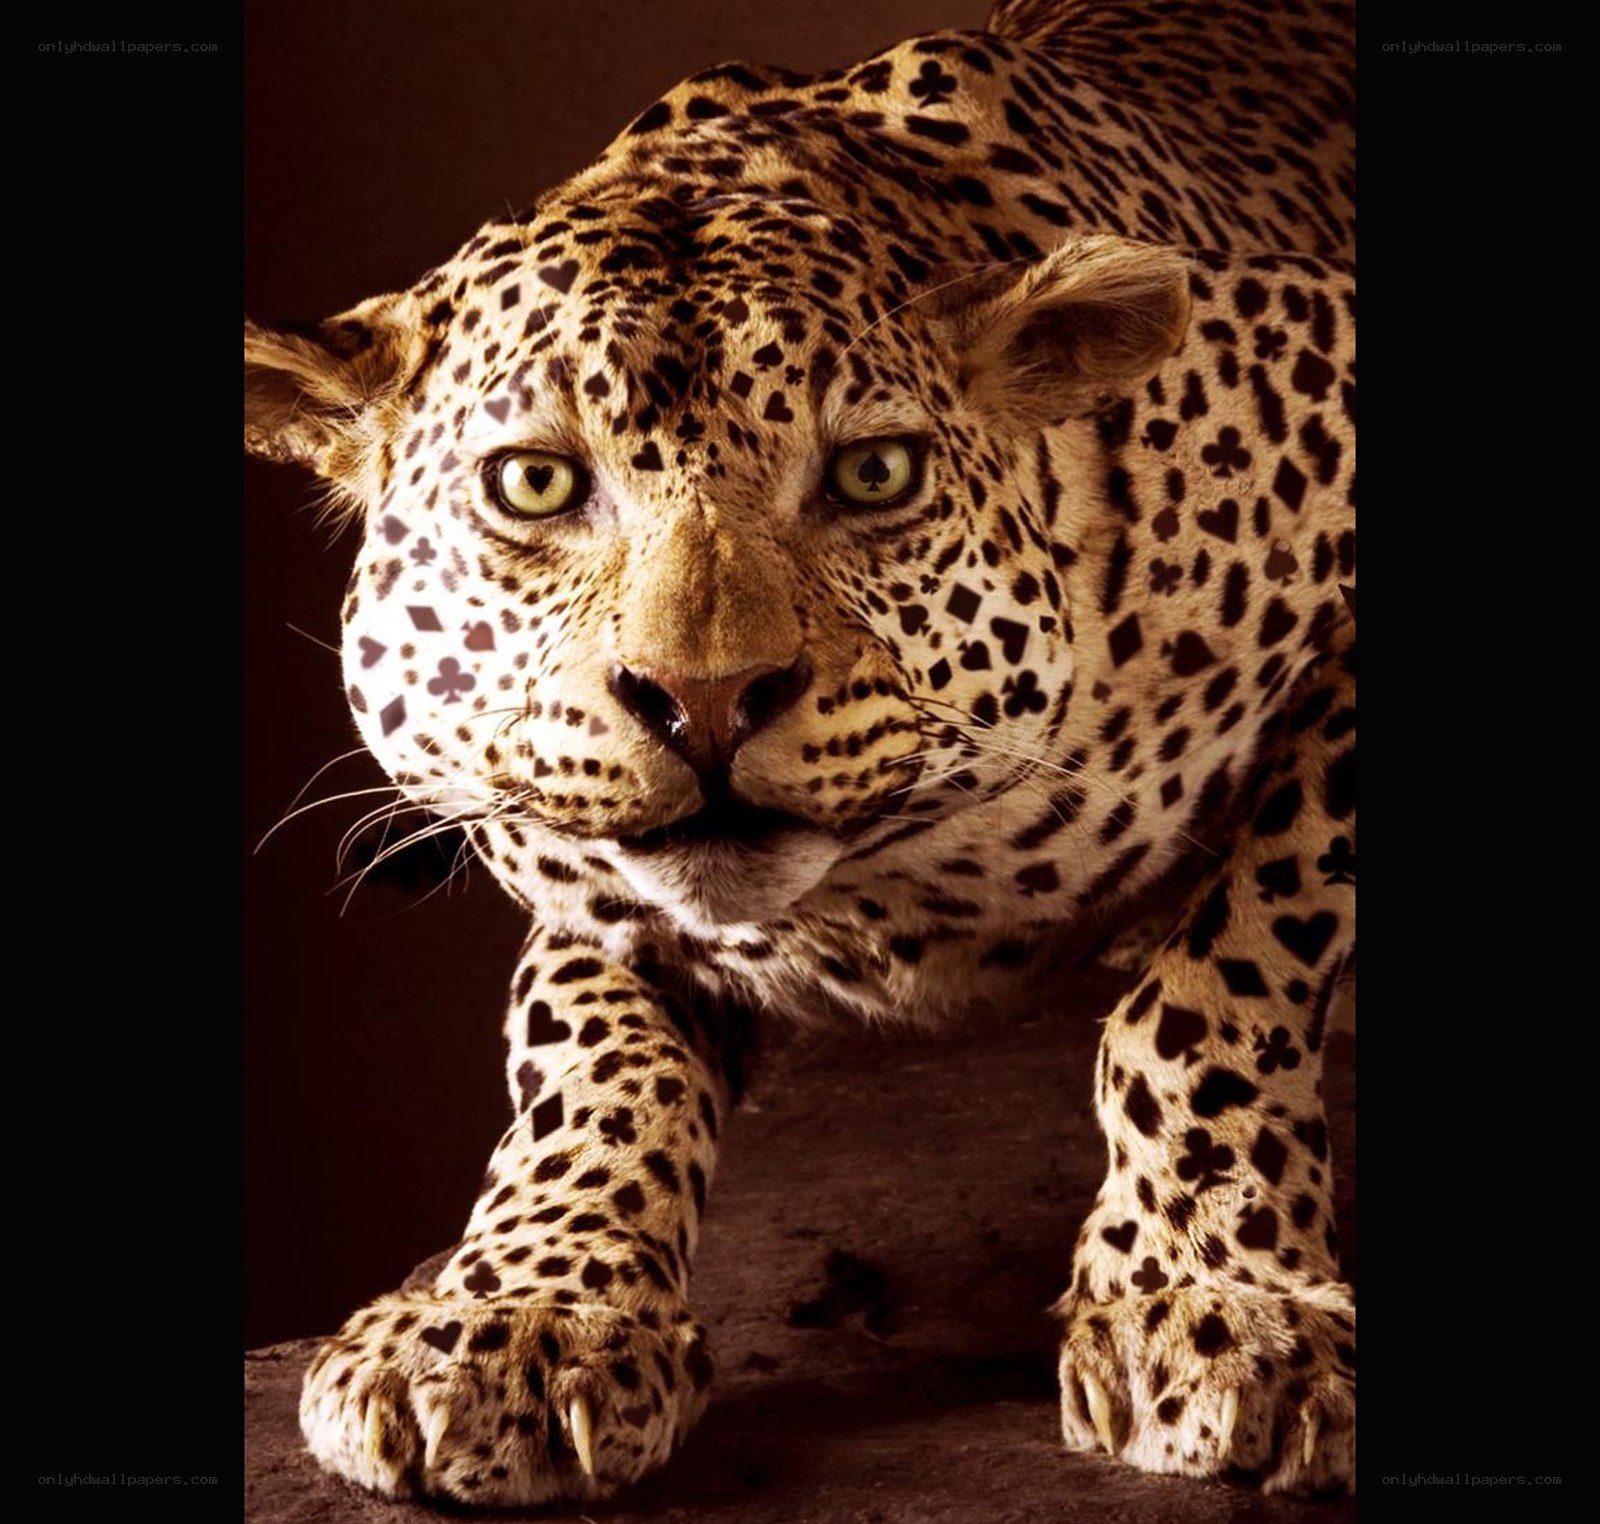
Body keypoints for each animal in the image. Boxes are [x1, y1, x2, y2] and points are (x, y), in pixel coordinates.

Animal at [245, 0, 1355, 1504]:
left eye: (874, 475)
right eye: (534, 482)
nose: (705, 700)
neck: (898, 894)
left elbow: (1222, 971)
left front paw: (1217, 1300)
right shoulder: (578, 868)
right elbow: (586, 1056)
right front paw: (520, 1316)